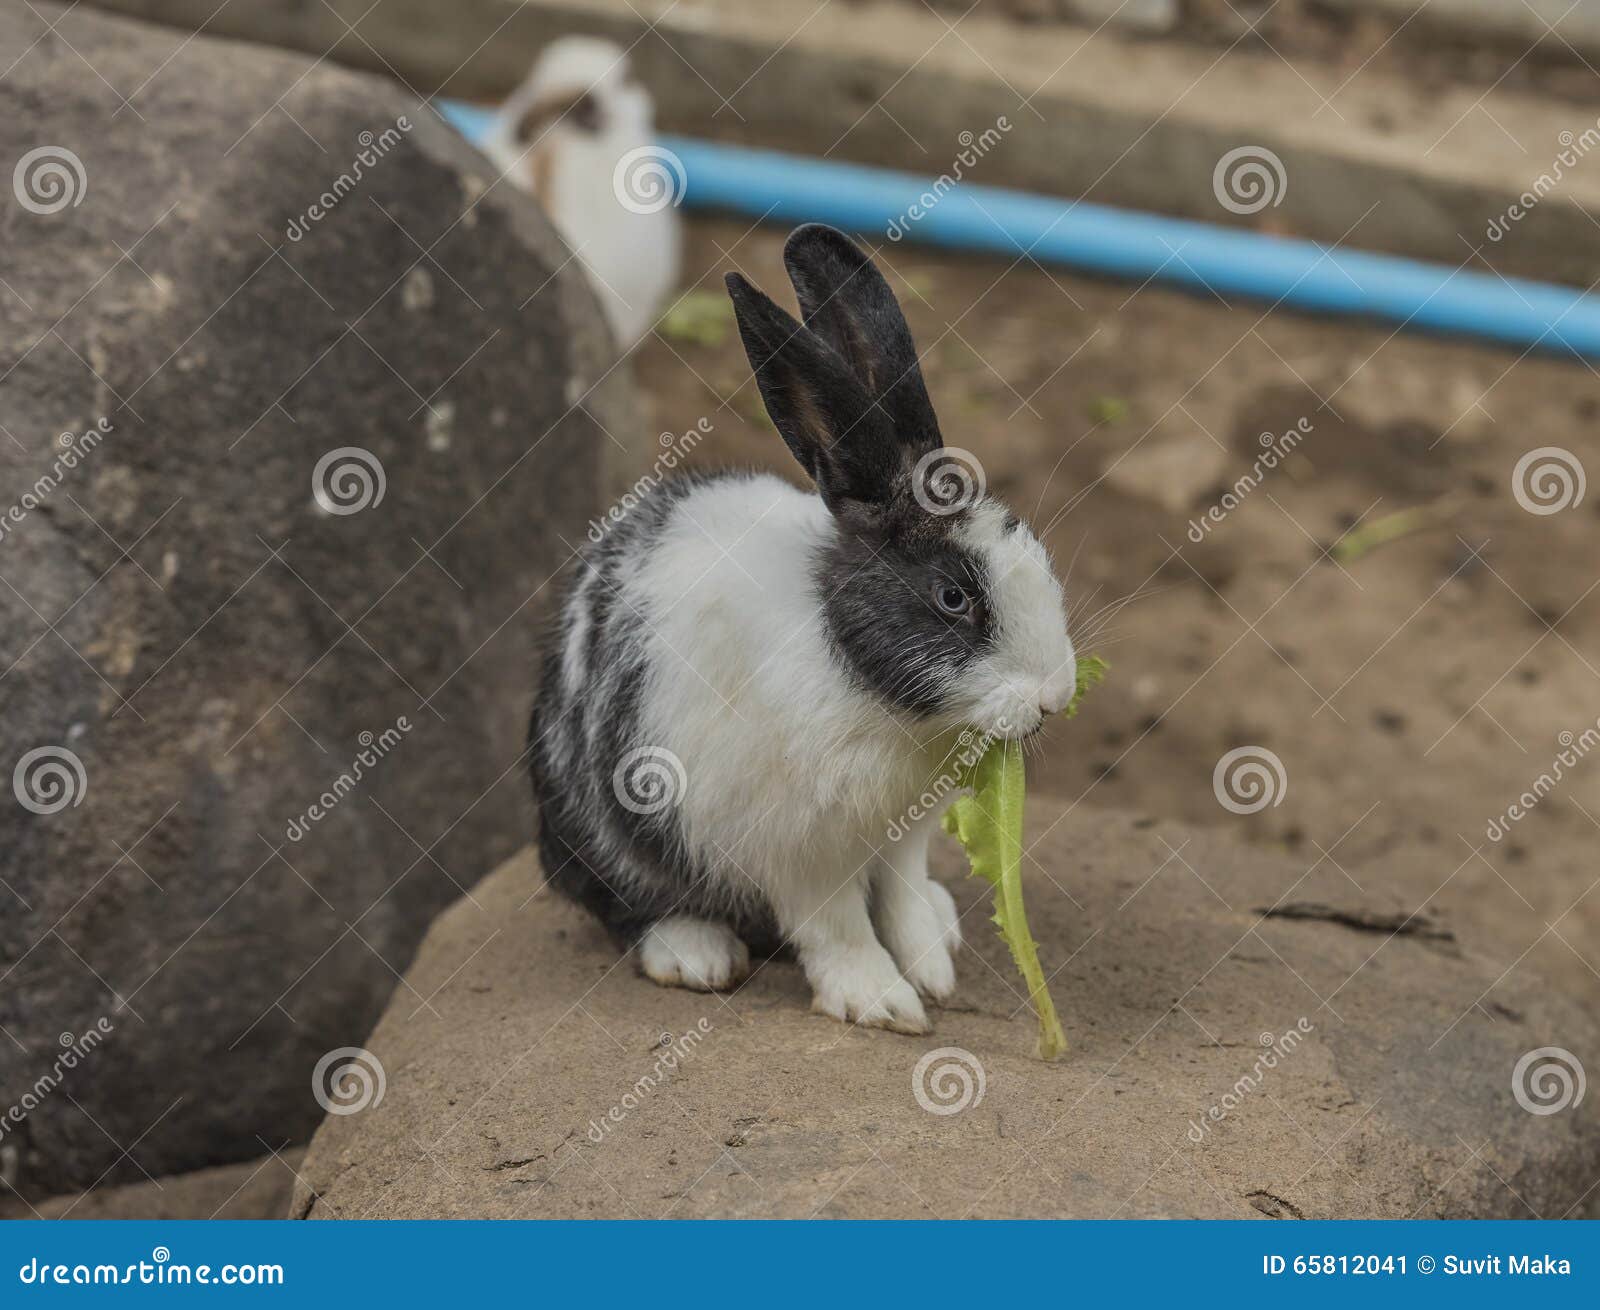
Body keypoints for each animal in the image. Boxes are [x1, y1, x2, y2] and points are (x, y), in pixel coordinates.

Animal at [529, 224, 1077, 1034]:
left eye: (1032, 548)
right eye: (952, 597)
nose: (1053, 697)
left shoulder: (903, 835)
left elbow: (902, 895)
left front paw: (932, 968)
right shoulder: (798, 850)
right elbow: (837, 927)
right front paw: (885, 1005)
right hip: (600, 828)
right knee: (619, 903)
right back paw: (698, 954)